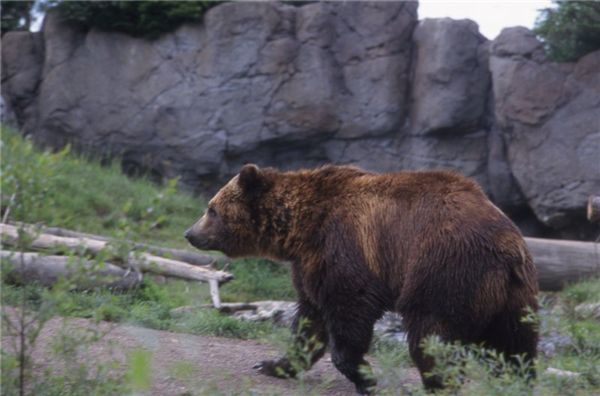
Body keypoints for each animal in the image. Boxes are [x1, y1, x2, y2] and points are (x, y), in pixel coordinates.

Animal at [184, 163, 540, 392]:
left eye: (211, 209)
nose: (190, 233)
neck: (301, 228)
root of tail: (506, 248)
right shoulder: (310, 264)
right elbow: (309, 320)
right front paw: (273, 364)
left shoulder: (345, 250)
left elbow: (348, 312)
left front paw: (365, 376)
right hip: (513, 296)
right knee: (515, 347)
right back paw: (516, 383)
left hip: (444, 272)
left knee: (431, 336)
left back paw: (437, 384)